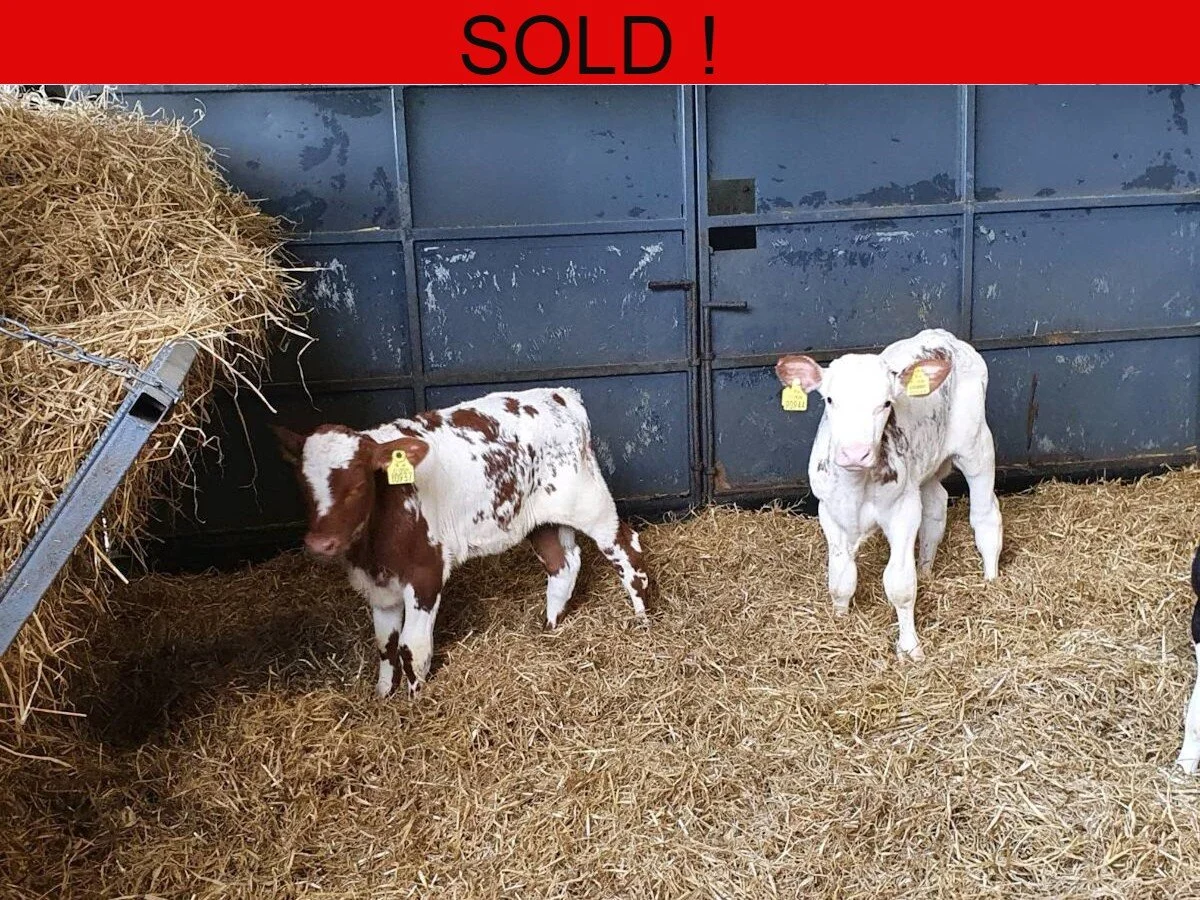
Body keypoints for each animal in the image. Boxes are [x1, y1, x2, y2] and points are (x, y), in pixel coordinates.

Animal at [273, 387, 651, 698]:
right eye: (303, 486)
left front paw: (415, 702)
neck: (371, 550)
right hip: (538, 519)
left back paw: (643, 617)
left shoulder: (425, 573)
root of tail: (560, 395)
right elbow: (385, 645)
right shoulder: (379, 587)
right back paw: (550, 625)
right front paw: (382, 696)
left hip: (590, 504)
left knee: (627, 548)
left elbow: (412, 648)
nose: (320, 543)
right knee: (563, 564)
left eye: (357, 485)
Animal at [775, 328, 1003, 661]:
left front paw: (910, 647)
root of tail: (942, 335)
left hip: (977, 447)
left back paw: (991, 580)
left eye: (885, 403)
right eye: (830, 399)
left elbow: (900, 585)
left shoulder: (903, 511)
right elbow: (840, 577)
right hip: (925, 466)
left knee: (985, 516)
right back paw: (926, 569)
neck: (856, 486)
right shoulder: (828, 512)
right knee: (936, 508)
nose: (855, 453)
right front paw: (839, 621)